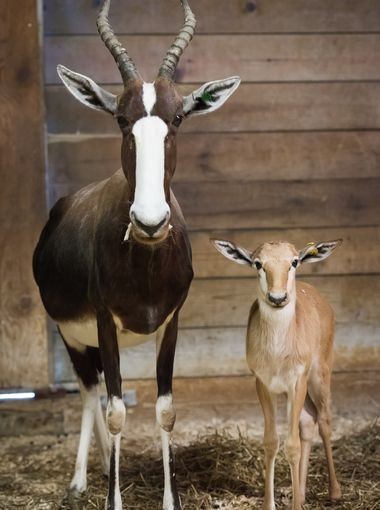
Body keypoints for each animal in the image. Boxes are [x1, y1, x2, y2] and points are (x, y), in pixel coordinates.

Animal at [33, 1, 240, 508]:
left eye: (178, 117)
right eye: (121, 119)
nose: (149, 222)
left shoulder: (172, 322)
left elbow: (165, 410)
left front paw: (171, 500)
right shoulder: (104, 323)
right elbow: (115, 411)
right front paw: (112, 499)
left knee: (98, 394)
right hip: (73, 336)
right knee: (90, 393)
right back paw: (80, 481)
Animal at [212, 239, 342, 510]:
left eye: (294, 261)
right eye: (257, 263)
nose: (278, 297)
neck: (277, 355)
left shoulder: (297, 380)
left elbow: (291, 445)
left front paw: (295, 506)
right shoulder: (263, 383)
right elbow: (271, 441)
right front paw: (270, 504)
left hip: (320, 372)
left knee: (324, 419)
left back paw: (334, 492)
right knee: (309, 420)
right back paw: (300, 493)